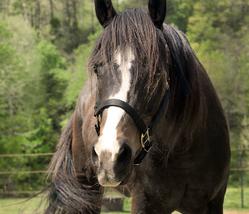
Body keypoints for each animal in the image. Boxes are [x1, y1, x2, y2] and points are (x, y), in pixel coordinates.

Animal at [44, 0, 230, 213]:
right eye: (97, 69)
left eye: (156, 73)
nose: (110, 155)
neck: (182, 152)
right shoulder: (145, 202)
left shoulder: (212, 203)